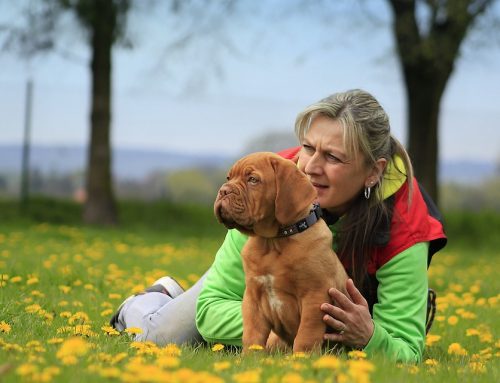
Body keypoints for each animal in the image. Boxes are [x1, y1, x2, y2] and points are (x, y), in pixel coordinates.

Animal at [212, 151, 348, 354]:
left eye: (253, 180)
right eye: (229, 178)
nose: (224, 190)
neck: (273, 241)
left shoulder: (315, 295)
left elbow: (306, 335)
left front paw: (302, 358)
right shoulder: (253, 298)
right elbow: (252, 334)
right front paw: (249, 358)